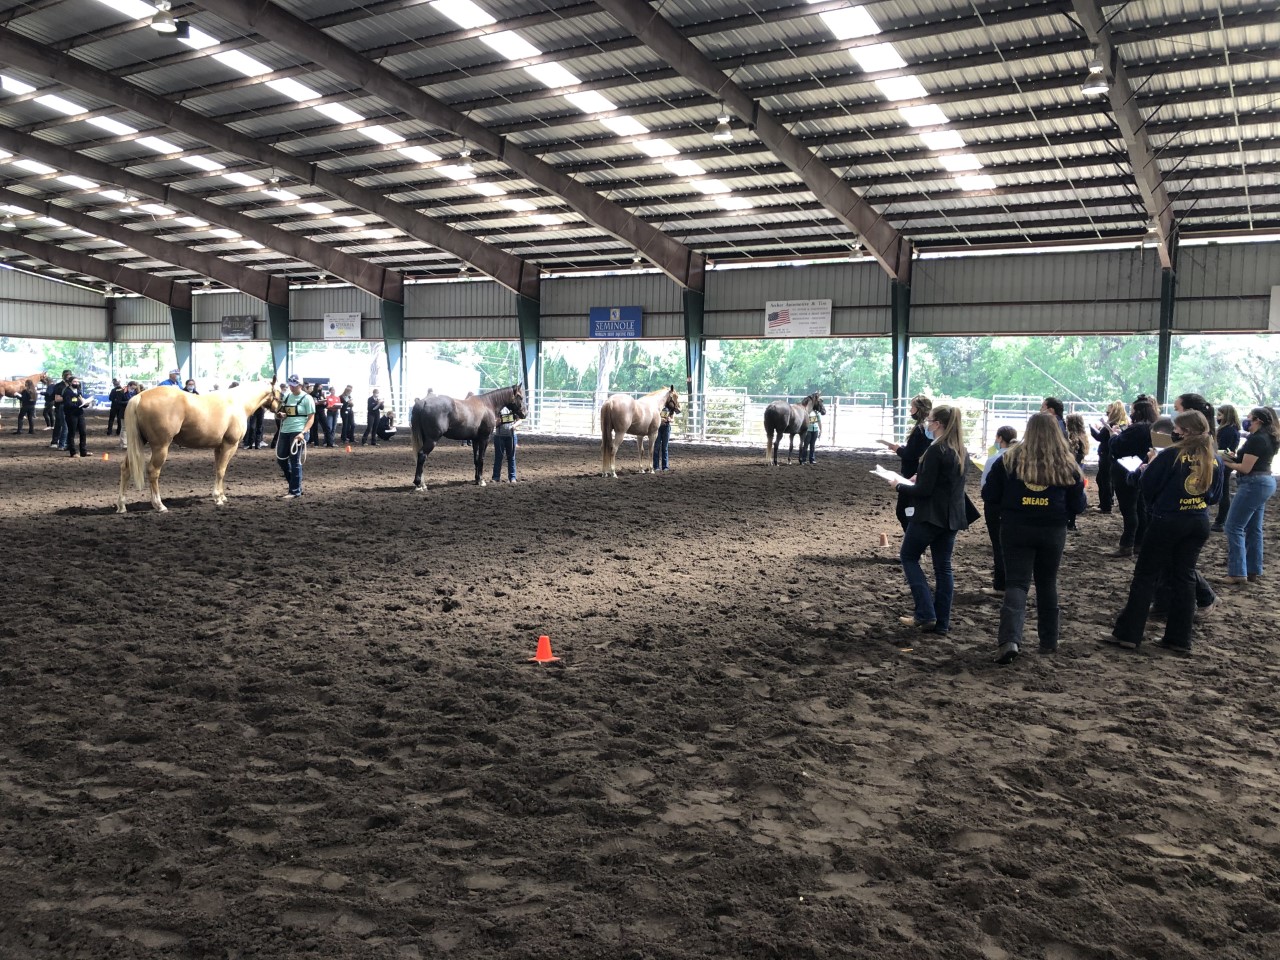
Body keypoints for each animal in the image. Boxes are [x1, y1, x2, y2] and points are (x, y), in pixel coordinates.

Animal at [116, 380, 280, 513]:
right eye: (279, 393)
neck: (237, 402)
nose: (281, 412)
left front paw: (222, 496)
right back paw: (159, 505)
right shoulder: (230, 445)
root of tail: (140, 396)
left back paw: (122, 506)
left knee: (125, 468)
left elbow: (219, 470)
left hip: (138, 443)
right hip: (160, 447)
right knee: (153, 471)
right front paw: (218, 498)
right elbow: (221, 471)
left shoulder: (218, 447)